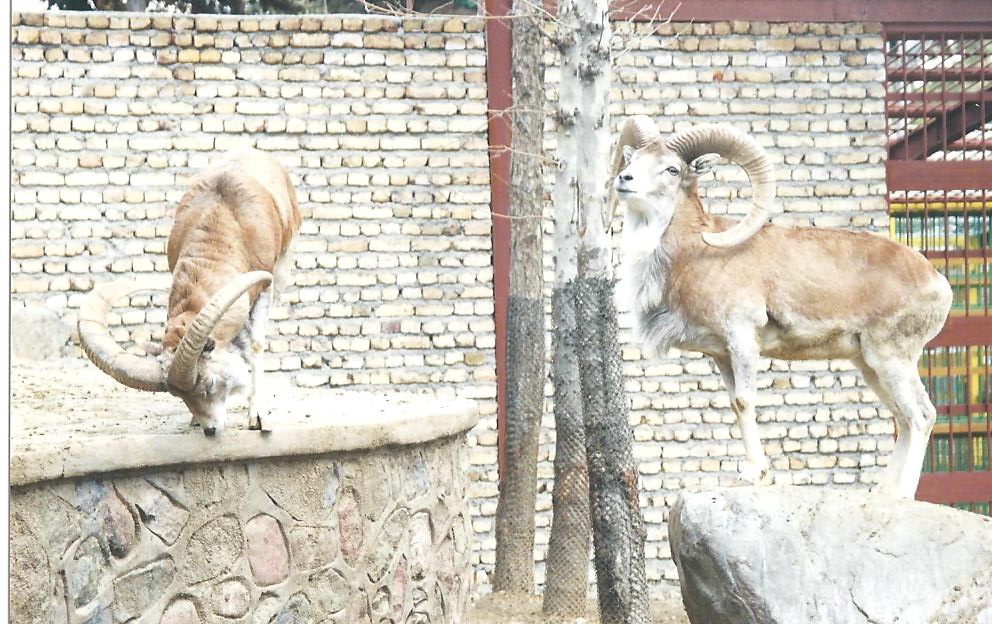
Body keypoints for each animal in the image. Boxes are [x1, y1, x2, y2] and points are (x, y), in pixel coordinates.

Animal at [78, 148, 302, 436]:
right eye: (181, 397)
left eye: (209, 385)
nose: (210, 430)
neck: (226, 220)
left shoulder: (265, 285)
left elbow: (255, 345)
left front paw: (258, 419)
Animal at [610, 116, 952, 498]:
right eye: (632, 159)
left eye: (671, 168)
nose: (625, 180)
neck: (695, 253)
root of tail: (937, 283)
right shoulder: (723, 355)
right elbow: (735, 403)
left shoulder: (743, 340)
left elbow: (744, 401)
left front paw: (754, 474)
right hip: (870, 366)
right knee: (905, 419)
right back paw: (884, 493)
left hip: (891, 360)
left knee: (921, 416)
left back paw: (902, 495)